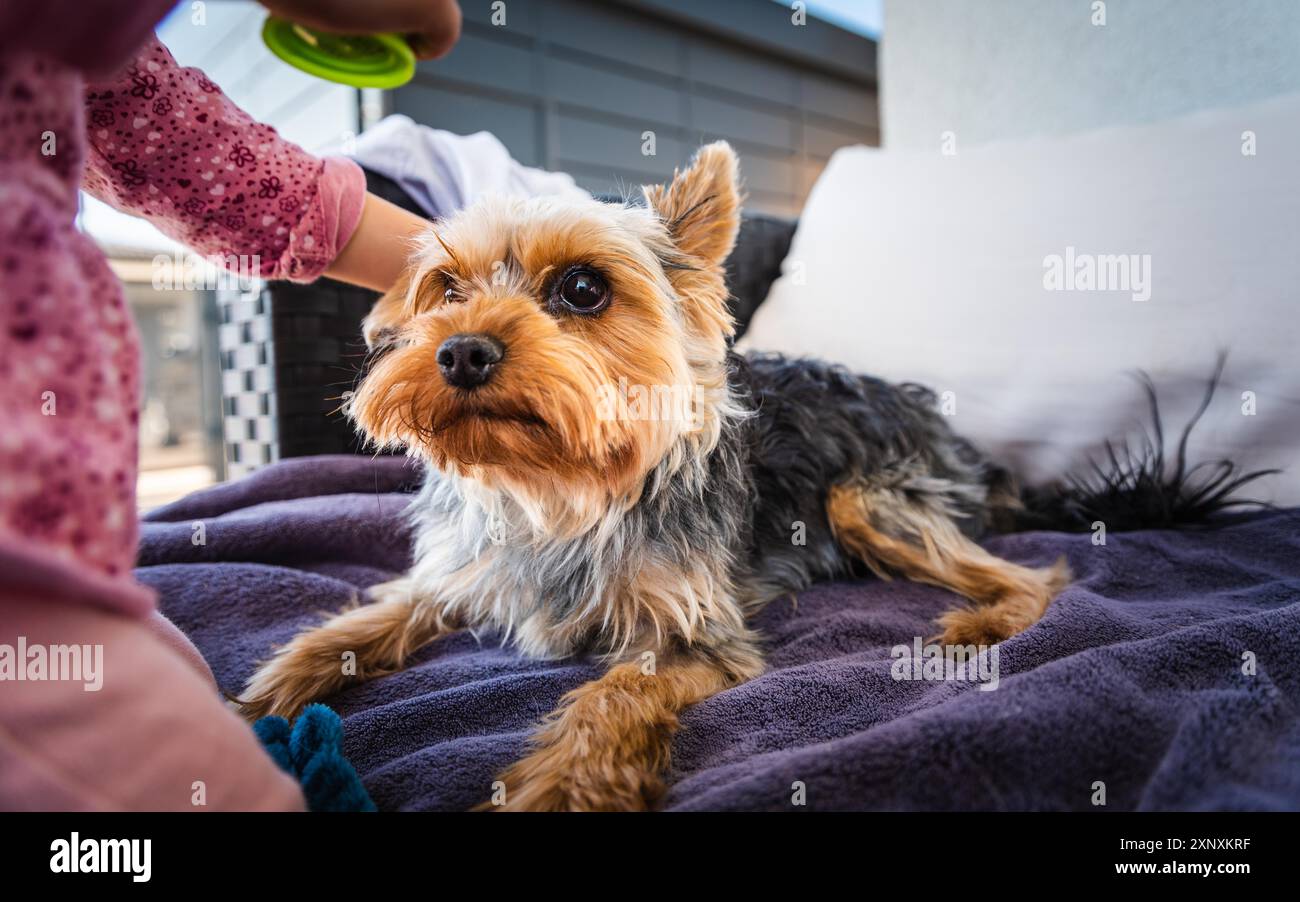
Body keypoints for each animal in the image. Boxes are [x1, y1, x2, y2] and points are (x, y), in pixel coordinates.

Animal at [239, 146, 1071, 811]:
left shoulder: (694, 634)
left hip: (865, 497)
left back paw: (984, 623)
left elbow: (612, 697)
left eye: (583, 289)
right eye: (445, 288)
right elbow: (369, 619)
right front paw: (260, 701)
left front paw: (563, 789)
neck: (555, 488)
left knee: (1033, 576)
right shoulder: (460, 571)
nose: (461, 351)